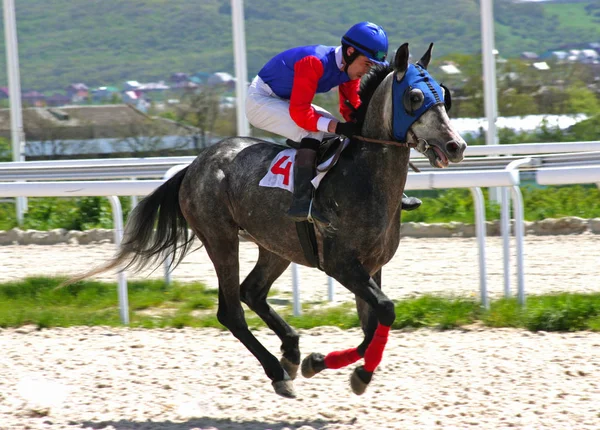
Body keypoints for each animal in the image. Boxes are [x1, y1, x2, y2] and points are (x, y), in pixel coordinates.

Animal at [72, 42, 466, 396]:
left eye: (444, 95)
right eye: (414, 96)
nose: (456, 146)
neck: (364, 179)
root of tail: (195, 165)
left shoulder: (372, 266)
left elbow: (373, 326)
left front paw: (321, 363)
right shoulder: (341, 264)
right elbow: (384, 310)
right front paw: (353, 373)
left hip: (277, 245)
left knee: (252, 291)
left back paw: (291, 351)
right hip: (221, 238)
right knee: (231, 310)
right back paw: (277, 371)